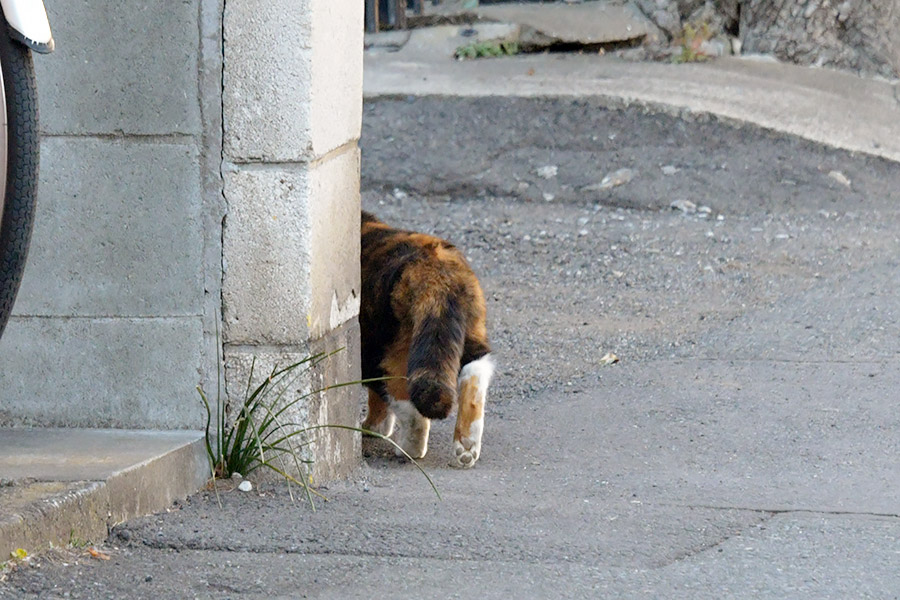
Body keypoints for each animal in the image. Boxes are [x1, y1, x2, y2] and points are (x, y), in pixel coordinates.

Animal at [362, 211, 496, 468]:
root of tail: (437, 268)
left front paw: (374, 429)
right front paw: (377, 429)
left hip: (387, 348)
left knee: (404, 397)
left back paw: (409, 449)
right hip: (470, 334)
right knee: (475, 374)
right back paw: (466, 446)